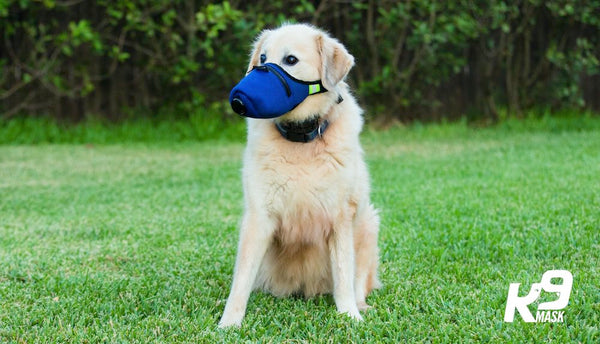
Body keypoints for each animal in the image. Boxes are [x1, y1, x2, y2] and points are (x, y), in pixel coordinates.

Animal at [219, 22, 380, 330]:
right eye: (262, 59)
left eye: (290, 60)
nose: (239, 99)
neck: (301, 138)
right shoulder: (259, 217)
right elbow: (241, 279)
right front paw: (229, 323)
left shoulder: (341, 219)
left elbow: (344, 275)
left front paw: (349, 315)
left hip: (368, 224)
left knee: (359, 282)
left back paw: (361, 306)